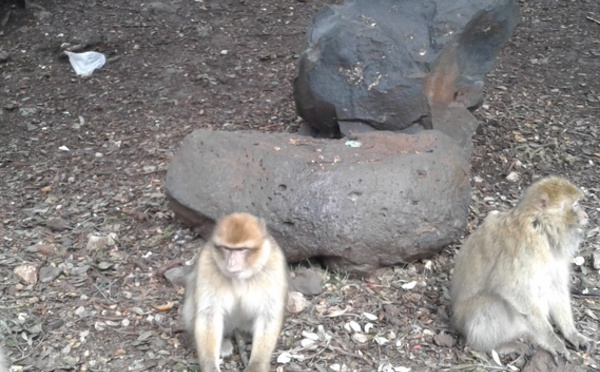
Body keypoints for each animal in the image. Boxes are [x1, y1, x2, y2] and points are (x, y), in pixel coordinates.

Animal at [180, 212, 288, 372]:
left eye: (241, 249)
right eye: (227, 248)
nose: (231, 263)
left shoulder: (273, 265)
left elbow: (268, 314)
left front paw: (257, 364)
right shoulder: (207, 264)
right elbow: (209, 314)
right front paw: (210, 365)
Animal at [450, 176, 596, 362]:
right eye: (576, 205)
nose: (586, 215)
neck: (540, 227)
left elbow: (555, 286)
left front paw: (572, 334)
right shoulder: (524, 247)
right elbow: (511, 288)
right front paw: (554, 341)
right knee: (491, 302)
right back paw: (494, 346)